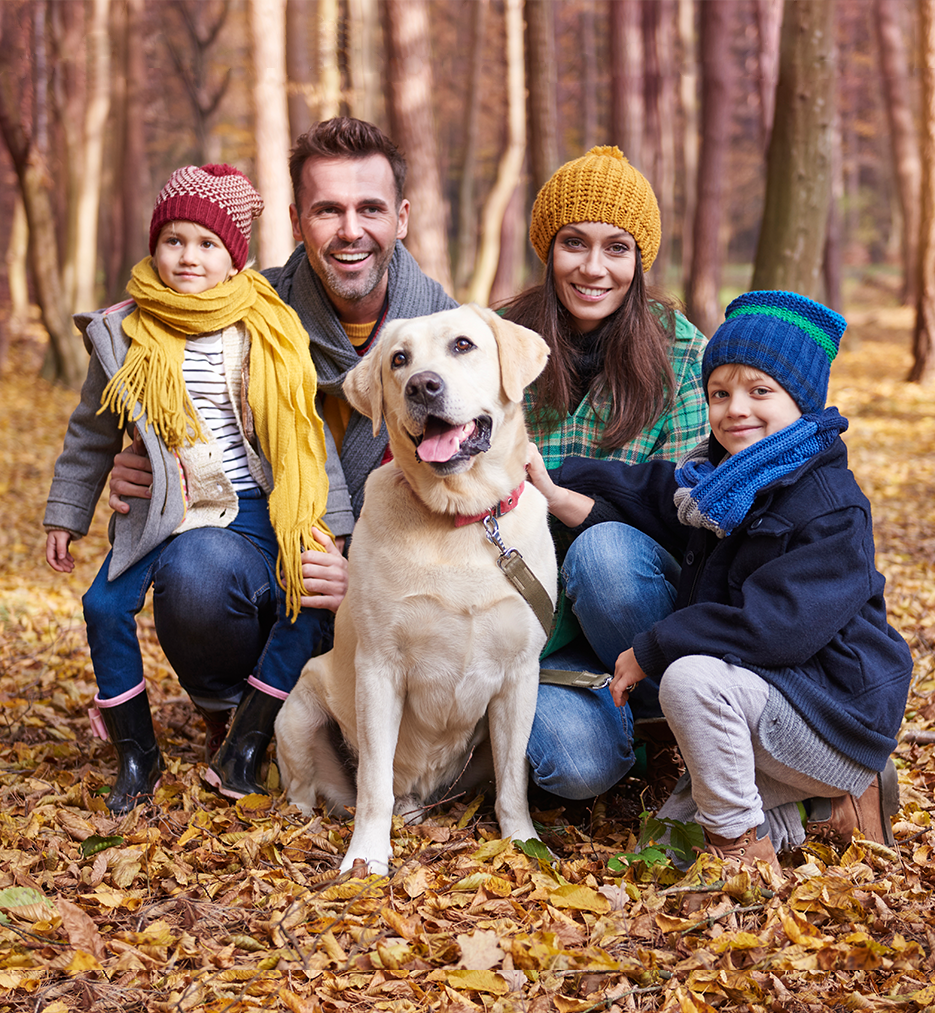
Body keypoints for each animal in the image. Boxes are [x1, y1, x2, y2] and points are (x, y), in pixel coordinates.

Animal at [273, 299, 559, 871]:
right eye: (399, 359)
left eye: (463, 345)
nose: (422, 386)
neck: (460, 519)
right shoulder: (380, 669)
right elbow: (373, 784)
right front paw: (365, 859)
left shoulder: (521, 675)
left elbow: (513, 781)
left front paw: (523, 843)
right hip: (297, 711)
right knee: (313, 790)